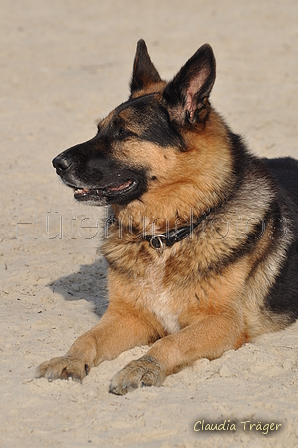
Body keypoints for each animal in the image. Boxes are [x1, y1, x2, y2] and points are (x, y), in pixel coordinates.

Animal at [36, 40, 298, 394]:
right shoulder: (128, 316)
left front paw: (143, 366)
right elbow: (87, 337)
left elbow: (169, 343)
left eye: (123, 133)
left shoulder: (223, 322)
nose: (56, 163)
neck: (167, 236)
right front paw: (69, 359)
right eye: (98, 130)